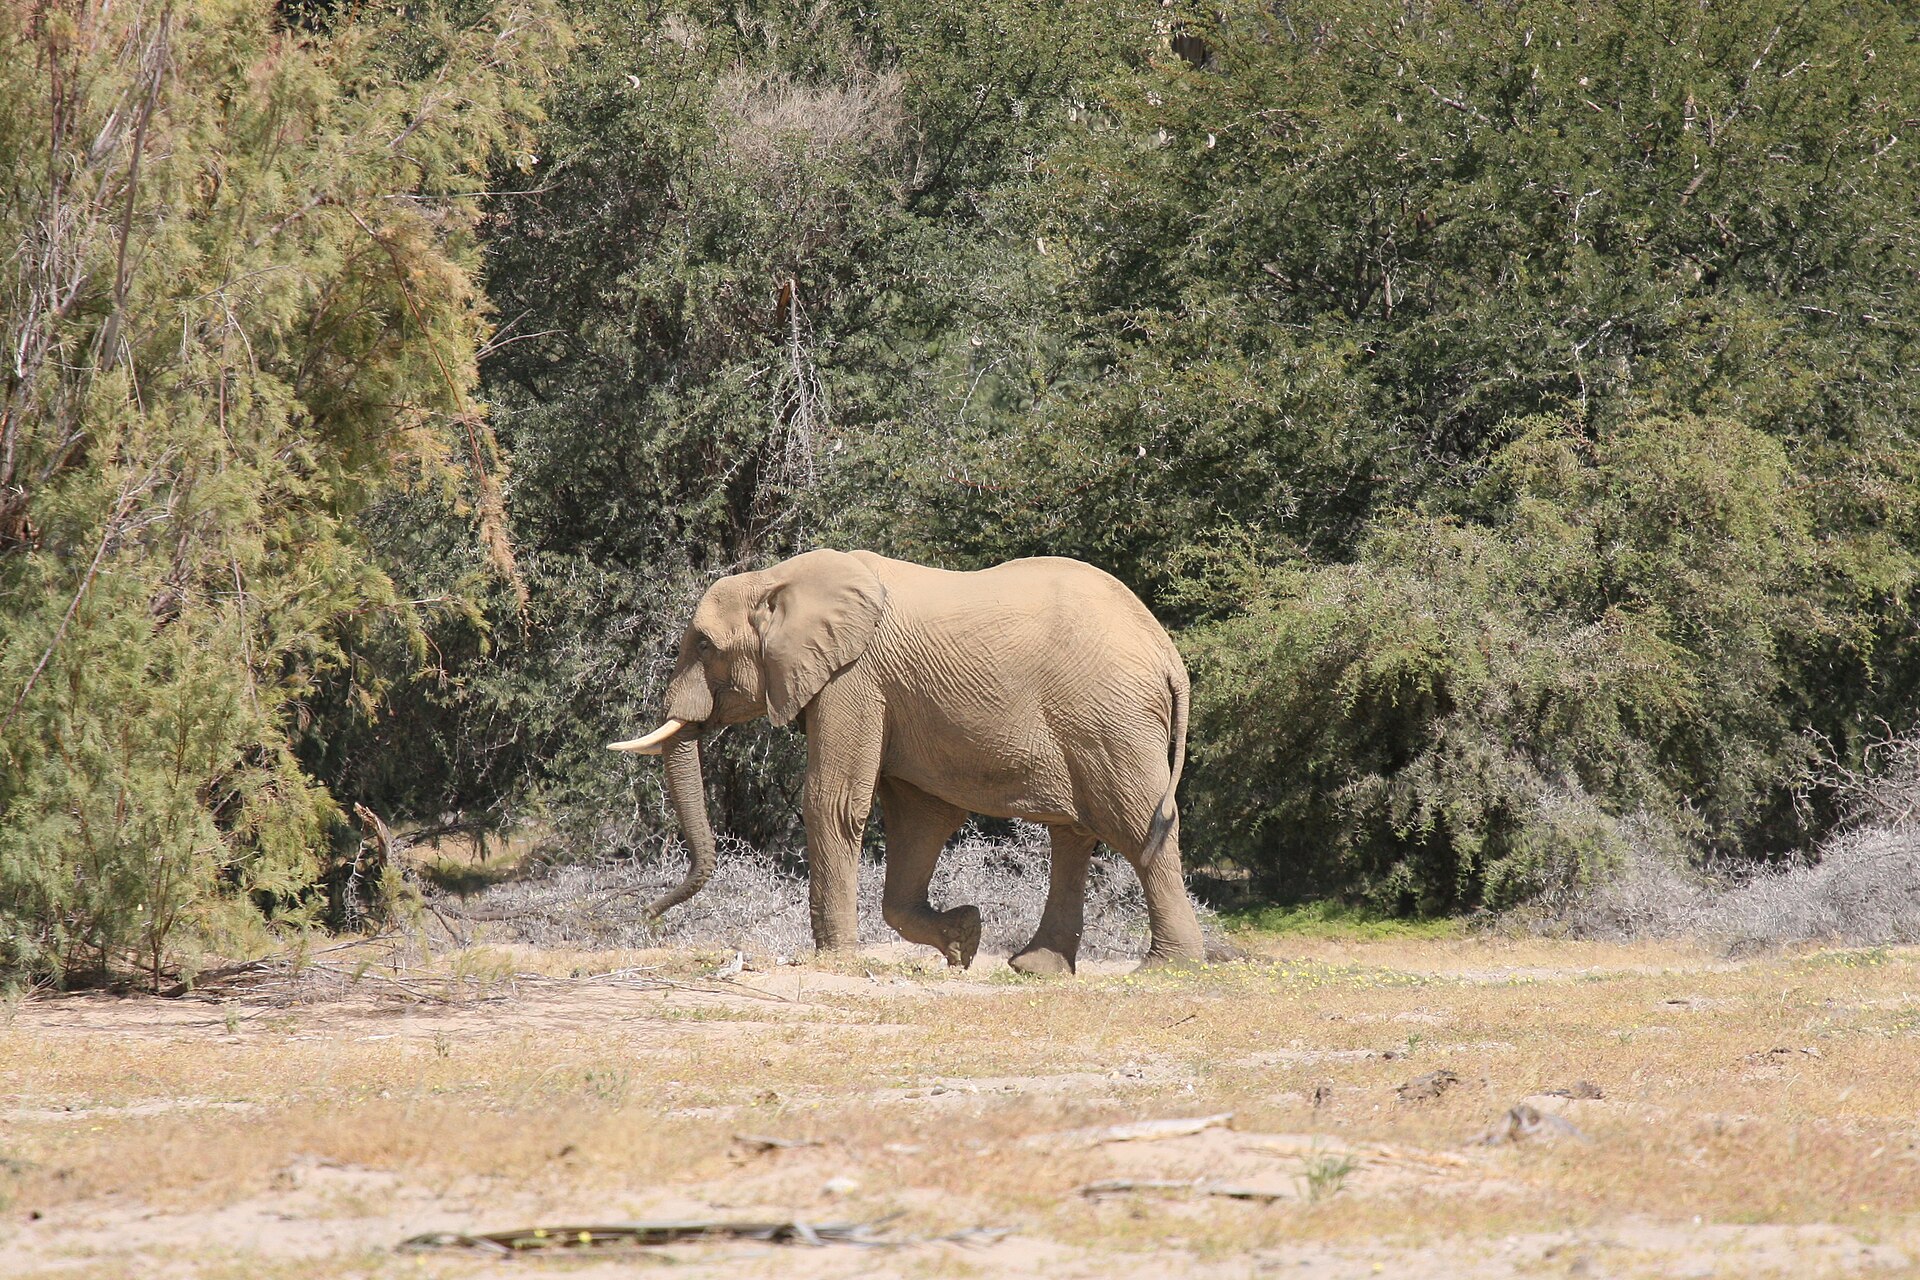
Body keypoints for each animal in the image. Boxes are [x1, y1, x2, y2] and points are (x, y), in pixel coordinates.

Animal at [608, 549, 1207, 974]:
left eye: (705, 646)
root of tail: (1168, 654)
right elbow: (921, 821)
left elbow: (833, 801)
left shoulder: (852, 679)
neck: (778, 578)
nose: (644, 918)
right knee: (1075, 834)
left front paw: (835, 959)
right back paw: (1036, 969)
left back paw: (1167, 968)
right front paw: (964, 940)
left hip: (1111, 719)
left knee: (1137, 825)